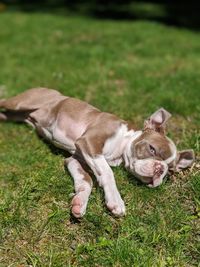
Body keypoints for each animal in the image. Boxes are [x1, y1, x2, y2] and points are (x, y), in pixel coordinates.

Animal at [0, 89, 195, 219]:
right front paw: (115, 201)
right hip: (21, 102)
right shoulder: (89, 143)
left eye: (169, 172)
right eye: (152, 149)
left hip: (19, 114)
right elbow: (107, 172)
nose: (159, 169)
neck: (121, 145)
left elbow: (86, 181)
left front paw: (79, 203)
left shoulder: (75, 159)